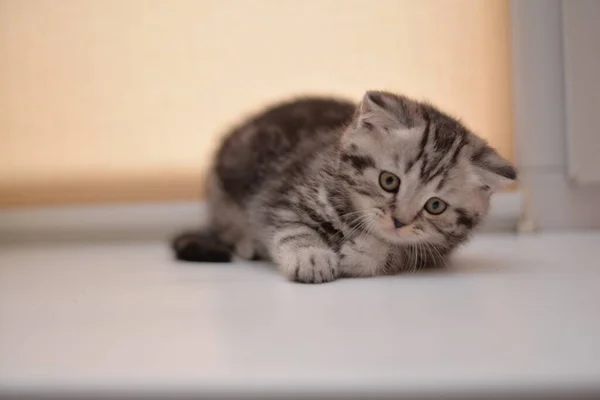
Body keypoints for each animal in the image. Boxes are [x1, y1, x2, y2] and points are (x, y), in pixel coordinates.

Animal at [172, 91, 516, 284]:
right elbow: (290, 226)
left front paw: (364, 253)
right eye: (389, 181)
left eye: (435, 205)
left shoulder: (434, 251)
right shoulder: (281, 193)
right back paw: (246, 243)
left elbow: (401, 253)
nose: (399, 221)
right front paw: (310, 256)